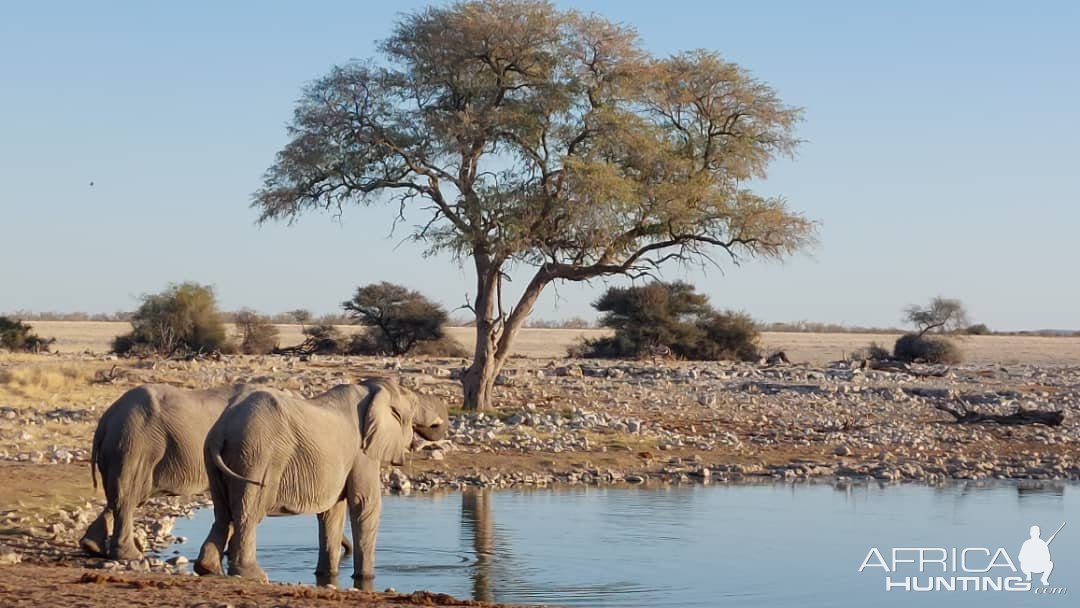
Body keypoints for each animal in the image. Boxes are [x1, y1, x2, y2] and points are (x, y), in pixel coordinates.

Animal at [84, 382, 354, 565]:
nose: (347, 551)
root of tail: (106, 418)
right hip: (135, 446)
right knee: (128, 497)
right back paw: (129, 555)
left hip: (124, 449)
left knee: (122, 497)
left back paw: (93, 547)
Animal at [194, 377, 447, 587]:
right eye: (414, 404)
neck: (372, 388)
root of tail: (222, 430)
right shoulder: (362, 453)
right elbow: (364, 504)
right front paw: (365, 579)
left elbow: (333, 512)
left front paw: (327, 576)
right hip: (258, 456)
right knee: (248, 513)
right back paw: (254, 576)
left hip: (215, 457)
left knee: (223, 512)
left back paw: (208, 569)